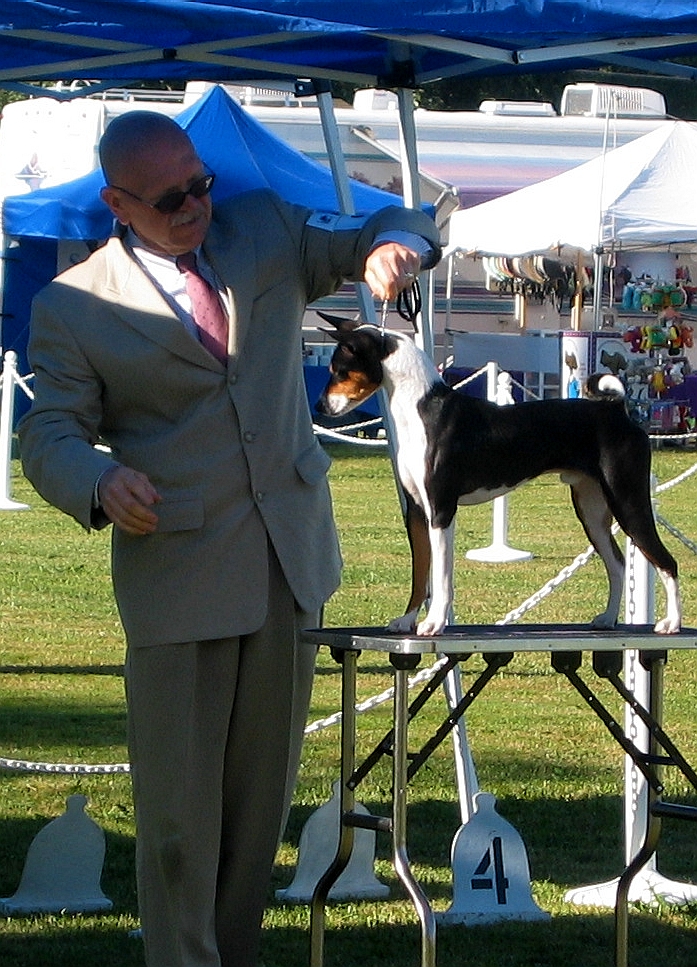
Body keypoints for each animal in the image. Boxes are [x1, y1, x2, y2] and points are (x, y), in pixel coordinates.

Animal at [315, 313, 681, 637]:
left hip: (628, 501)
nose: (320, 408)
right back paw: (607, 619)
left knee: (666, 561)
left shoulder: (441, 511)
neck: (421, 410)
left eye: (341, 370)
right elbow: (420, 574)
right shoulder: (416, 512)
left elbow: (441, 577)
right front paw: (407, 620)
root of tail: (616, 410)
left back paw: (672, 624)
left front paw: (434, 623)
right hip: (592, 510)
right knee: (617, 564)